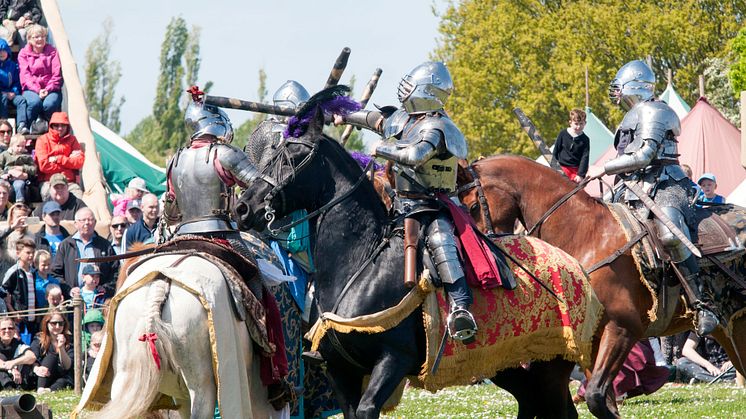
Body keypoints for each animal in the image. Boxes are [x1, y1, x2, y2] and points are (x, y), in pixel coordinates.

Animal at [232, 110, 576, 418]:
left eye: (292, 156)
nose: (243, 207)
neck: (361, 262)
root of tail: (570, 263)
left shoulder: (393, 360)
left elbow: (368, 409)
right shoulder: (340, 370)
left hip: (550, 367)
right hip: (507, 363)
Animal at [454, 155, 744, 419]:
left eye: (472, 206)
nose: (477, 261)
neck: (583, 234)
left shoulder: (622, 329)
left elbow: (595, 396)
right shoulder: (585, 339)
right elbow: (592, 398)